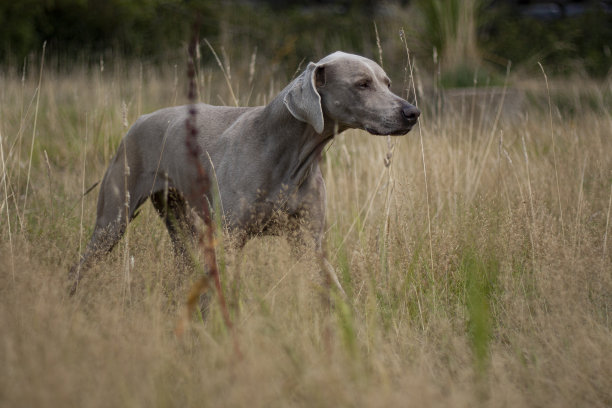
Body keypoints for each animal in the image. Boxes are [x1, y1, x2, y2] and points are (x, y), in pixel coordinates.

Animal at [68, 51, 420, 296]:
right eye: (362, 84)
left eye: (387, 83)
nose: (412, 112)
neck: (288, 155)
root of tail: (139, 119)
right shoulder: (230, 238)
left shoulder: (310, 242)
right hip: (113, 219)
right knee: (81, 264)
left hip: (178, 220)